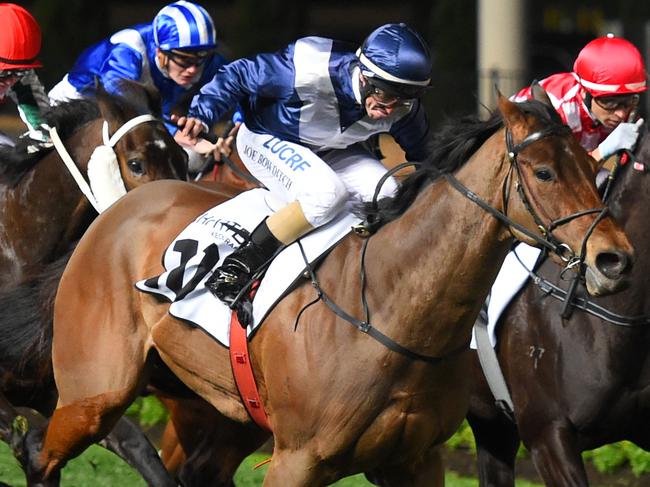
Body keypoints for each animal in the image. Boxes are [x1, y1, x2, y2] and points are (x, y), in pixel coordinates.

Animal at [25, 93, 632, 486]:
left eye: (593, 167)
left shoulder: (414, 461)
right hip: (93, 394)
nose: (615, 259)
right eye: (544, 172)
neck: (389, 306)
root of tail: (116, 211)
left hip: (213, 410)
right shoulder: (297, 460)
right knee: (44, 457)